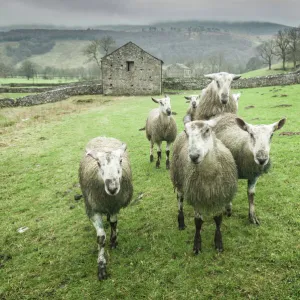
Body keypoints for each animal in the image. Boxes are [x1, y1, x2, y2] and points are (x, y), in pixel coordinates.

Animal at [78, 137, 132, 280]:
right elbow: (101, 238)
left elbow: (113, 223)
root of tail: (104, 136)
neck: (109, 199)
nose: (112, 188)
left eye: (120, 160)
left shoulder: (114, 206)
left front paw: (113, 241)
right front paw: (101, 264)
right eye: (98, 163)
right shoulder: (93, 209)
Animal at [170, 117, 238, 253]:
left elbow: (218, 219)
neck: (209, 174)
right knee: (180, 200)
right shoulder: (197, 196)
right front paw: (197, 245)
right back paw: (181, 222)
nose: (194, 156)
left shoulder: (219, 196)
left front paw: (218, 242)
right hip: (178, 178)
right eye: (187, 132)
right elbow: (198, 222)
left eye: (207, 130)